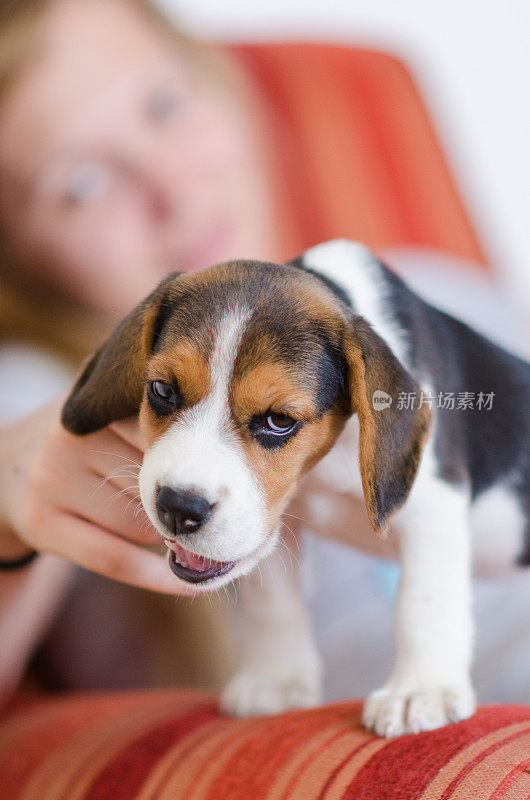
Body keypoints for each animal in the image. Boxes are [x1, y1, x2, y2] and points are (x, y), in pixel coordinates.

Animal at [63, 239, 528, 736]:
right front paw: (277, 681)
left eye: (279, 420)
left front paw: (420, 689)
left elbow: (424, 600)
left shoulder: (432, 505)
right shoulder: (272, 527)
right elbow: (274, 601)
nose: (177, 506)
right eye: (162, 390)